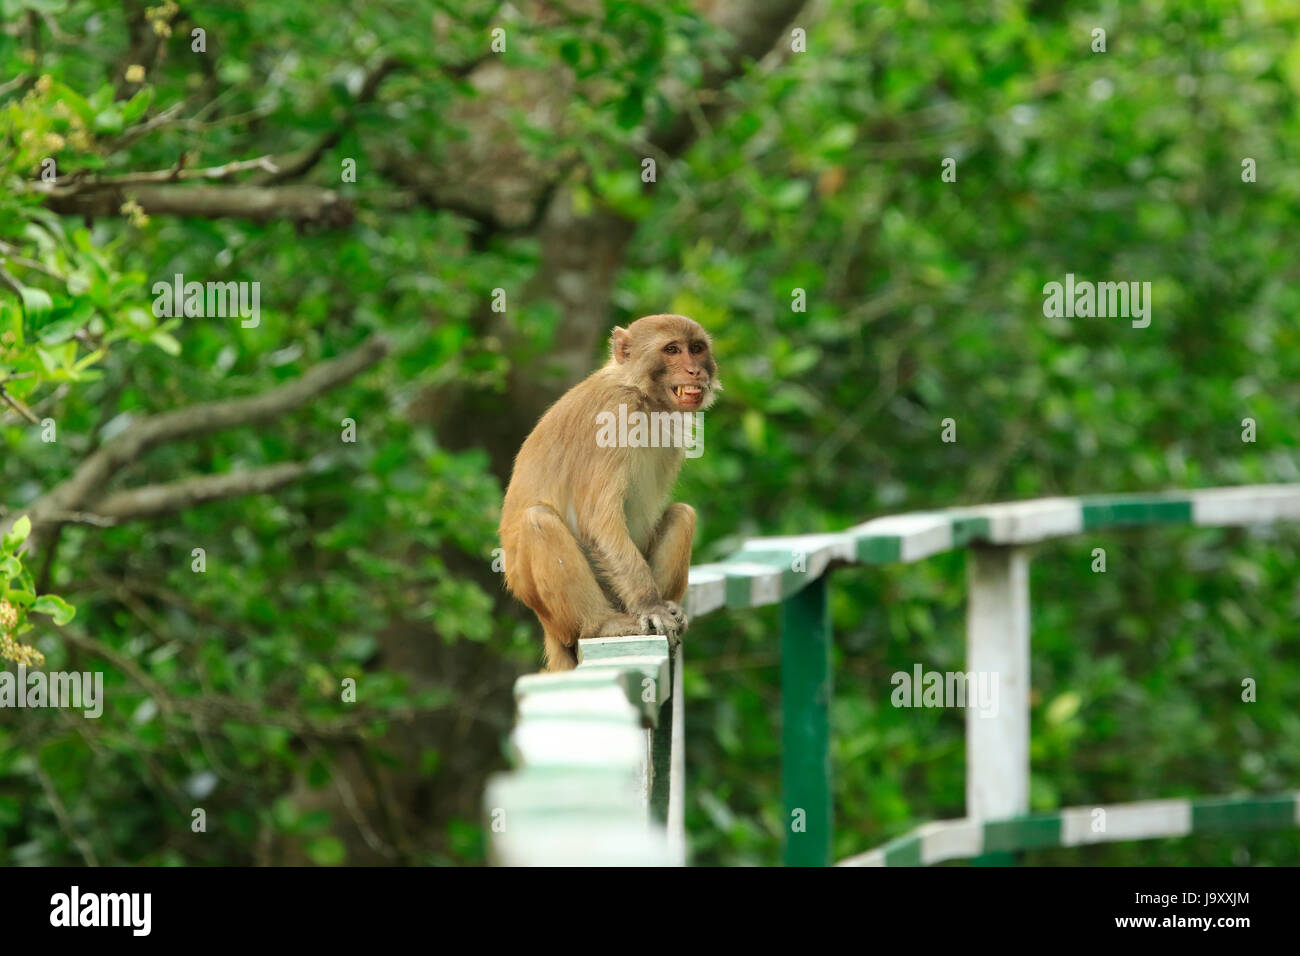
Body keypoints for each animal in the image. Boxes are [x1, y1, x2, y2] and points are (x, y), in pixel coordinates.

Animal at [499, 313, 719, 672]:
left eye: (697, 349)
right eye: (672, 350)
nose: (695, 371)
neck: (643, 398)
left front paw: (659, 606)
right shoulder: (615, 414)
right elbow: (598, 522)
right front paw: (650, 606)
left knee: (682, 513)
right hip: (551, 609)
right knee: (539, 521)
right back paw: (603, 624)